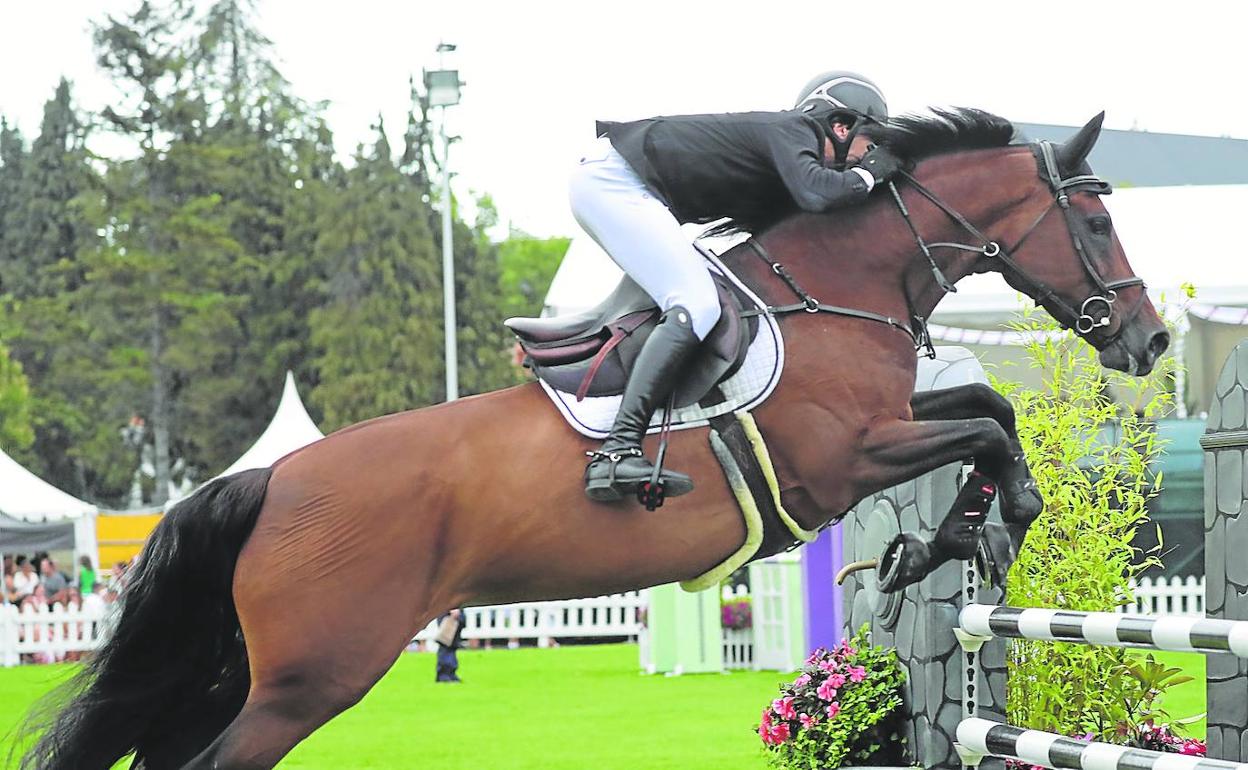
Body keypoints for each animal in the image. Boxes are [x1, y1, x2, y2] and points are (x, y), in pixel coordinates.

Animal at [19, 109, 1168, 768]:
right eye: (1099, 221)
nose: (1150, 338)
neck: (838, 290)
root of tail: (268, 481)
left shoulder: (882, 430)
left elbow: (989, 413)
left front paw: (940, 542)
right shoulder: (842, 459)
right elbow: (985, 427)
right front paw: (957, 536)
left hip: (242, 669)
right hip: (312, 676)